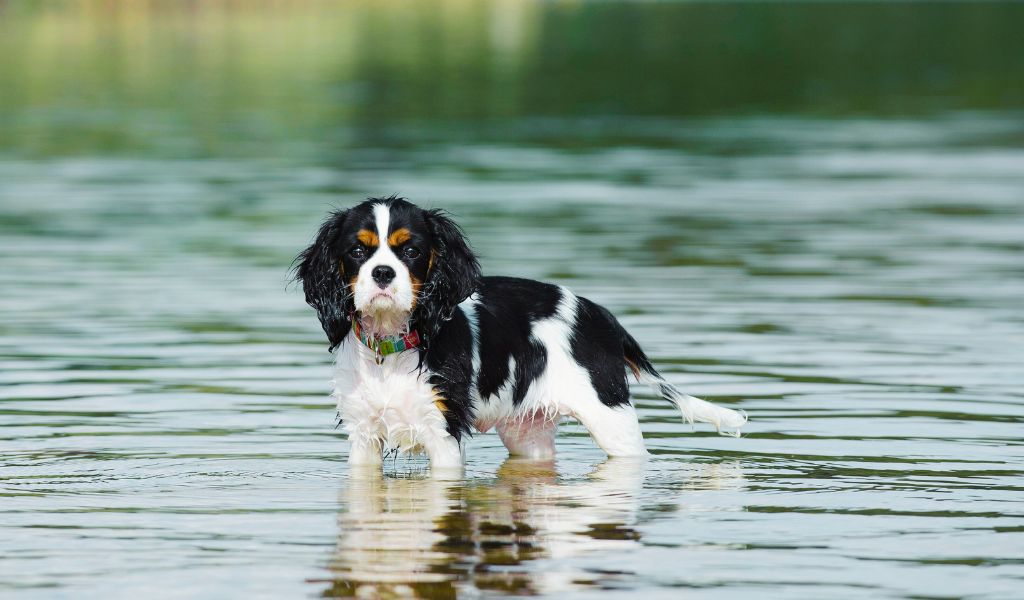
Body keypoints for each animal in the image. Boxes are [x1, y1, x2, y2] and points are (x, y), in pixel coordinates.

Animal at [294, 196, 745, 466]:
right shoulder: (362, 438)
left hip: (613, 422)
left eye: (411, 251)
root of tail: (599, 313)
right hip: (528, 437)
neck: (392, 347)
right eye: (357, 251)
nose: (383, 273)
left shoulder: (443, 433)